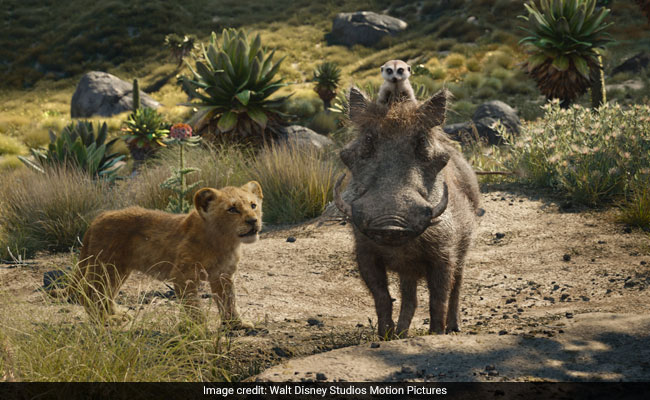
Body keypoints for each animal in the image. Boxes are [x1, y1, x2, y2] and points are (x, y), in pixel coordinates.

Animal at [61, 181, 263, 328]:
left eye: (253, 205)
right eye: (232, 209)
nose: (253, 220)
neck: (225, 242)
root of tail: (97, 219)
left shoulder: (223, 276)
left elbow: (229, 300)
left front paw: (236, 324)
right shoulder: (183, 276)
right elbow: (193, 306)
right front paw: (199, 329)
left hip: (118, 270)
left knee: (106, 293)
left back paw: (117, 314)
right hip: (106, 266)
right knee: (90, 293)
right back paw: (107, 320)